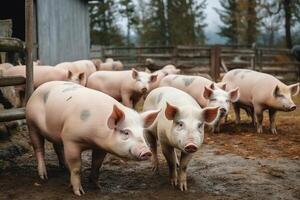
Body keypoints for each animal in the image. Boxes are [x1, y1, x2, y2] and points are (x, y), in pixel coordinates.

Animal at [26, 81, 159, 195]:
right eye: (126, 132)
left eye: (142, 133)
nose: (146, 152)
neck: (91, 140)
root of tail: (39, 88)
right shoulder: (70, 139)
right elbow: (76, 167)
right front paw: (79, 192)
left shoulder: (100, 147)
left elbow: (97, 164)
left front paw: (98, 187)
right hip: (31, 123)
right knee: (38, 148)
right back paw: (43, 176)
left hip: (56, 131)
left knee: (57, 147)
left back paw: (64, 167)